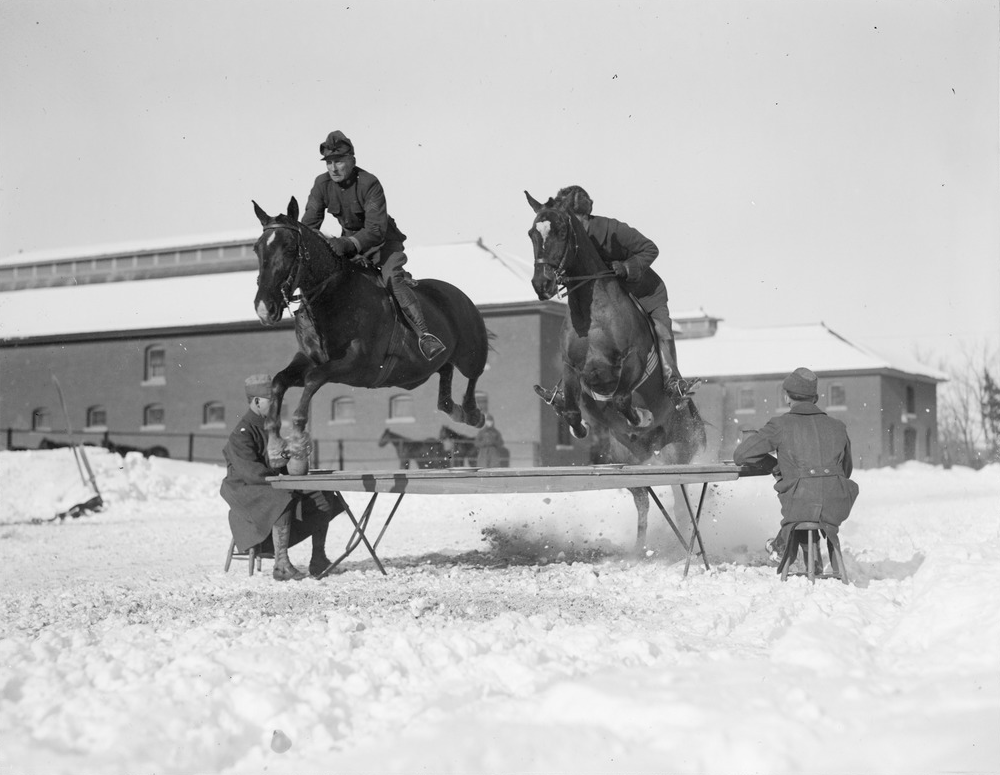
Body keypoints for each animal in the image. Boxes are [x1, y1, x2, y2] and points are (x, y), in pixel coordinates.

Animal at [252, 196, 490, 472]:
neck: (331, 297)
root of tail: (461, 295)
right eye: (257, 248)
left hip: (471, 351)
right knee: (445, 375)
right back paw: (454, 409)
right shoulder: (310, 359)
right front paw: (275, 447)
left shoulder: (357, 364)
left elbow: (313, 379)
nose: (264, 308)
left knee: (473, 375)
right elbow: (280, 381)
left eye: (290, 247)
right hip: (436, 363)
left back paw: (473, 414)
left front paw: (299, 444)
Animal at [528, 192, 708, 552]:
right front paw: (577, 428)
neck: (592, 314)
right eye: (531, 234)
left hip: (677, 454)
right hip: (628, 463)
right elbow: (573, 408)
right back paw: (639, 551)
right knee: (643, 501)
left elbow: (624, 396)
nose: (542, 284)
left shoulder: (633, 360)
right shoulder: (572, 369)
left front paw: (641, 416)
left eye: (560, 231)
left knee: (679, 502)